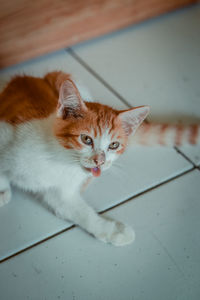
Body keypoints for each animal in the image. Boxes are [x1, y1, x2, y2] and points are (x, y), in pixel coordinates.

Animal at [0, 71, 199, 246]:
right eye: (86, 139)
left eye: (114, 145)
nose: (100, 161)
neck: (59, 160)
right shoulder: (6, 132)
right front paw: (2, 190)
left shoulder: (62, 192)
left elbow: (78, 210)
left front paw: (112, 230)